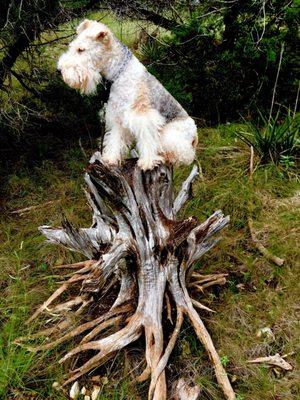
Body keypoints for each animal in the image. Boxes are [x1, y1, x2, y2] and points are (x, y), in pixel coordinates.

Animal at [56, 19, 198, 170]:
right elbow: (115, 139)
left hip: (172, 135)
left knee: (183, 156)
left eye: (81, 50)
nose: (59, 70)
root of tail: (195, 137)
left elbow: (147, 139)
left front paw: (147, 163)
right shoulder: (117, 115)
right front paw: (110, 159)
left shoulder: (143, 116)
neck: (120, 72)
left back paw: (167, 157)